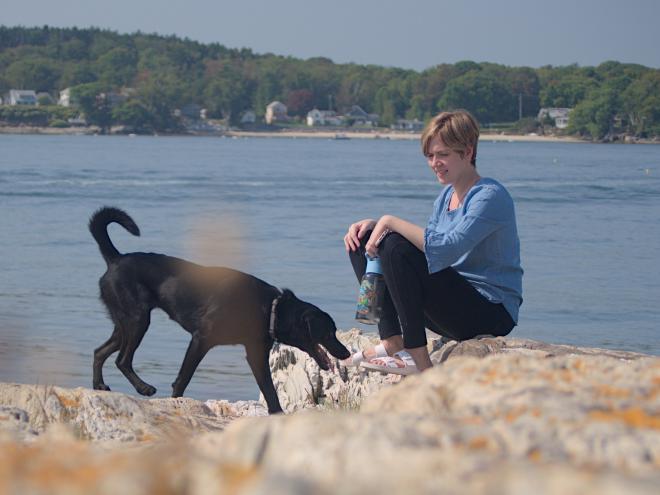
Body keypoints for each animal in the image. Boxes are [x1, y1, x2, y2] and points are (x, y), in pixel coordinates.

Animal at [90, 206, 354, 414]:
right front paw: (177, 402)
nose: (346, 353)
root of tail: (115, 258)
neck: (270, 308)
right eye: (328, 332)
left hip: (124, 324)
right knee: (122, 360)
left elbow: (269, 391)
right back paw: (143, 388)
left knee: (99, 351)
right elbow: (183, 379)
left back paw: (99, 386)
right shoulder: (201, 339)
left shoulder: (255, 353)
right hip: (138, 320)